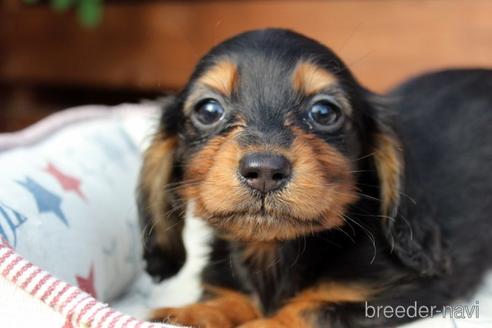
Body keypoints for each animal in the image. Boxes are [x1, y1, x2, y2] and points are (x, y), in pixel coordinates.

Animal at [136, 28, 492, 328]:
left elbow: (306, 311)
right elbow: (228, 302)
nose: (264, 171)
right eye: (208, 110)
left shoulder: (387, 295)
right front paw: (188, 314)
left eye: (324, 112)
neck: (273, 251)